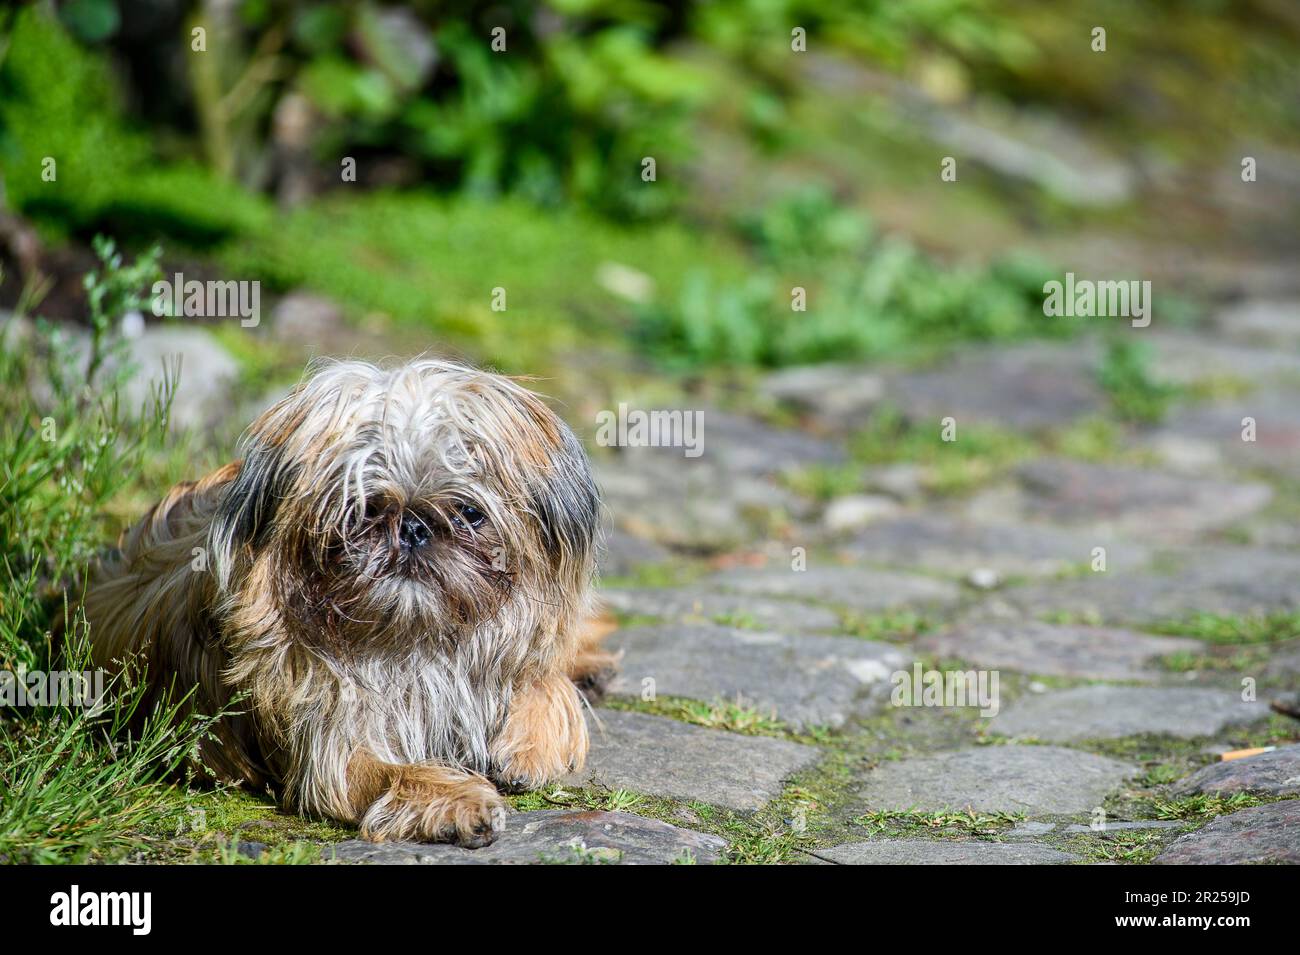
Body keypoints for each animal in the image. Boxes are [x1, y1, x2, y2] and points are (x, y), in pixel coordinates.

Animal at [86, 361, 613, 847]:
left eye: (470, 513)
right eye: (361, 508)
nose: (413, 528)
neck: (413, 641)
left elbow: (545, 684)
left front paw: (527, 744)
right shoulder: (334, 750)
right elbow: (394, 773)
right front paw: (459, 799)